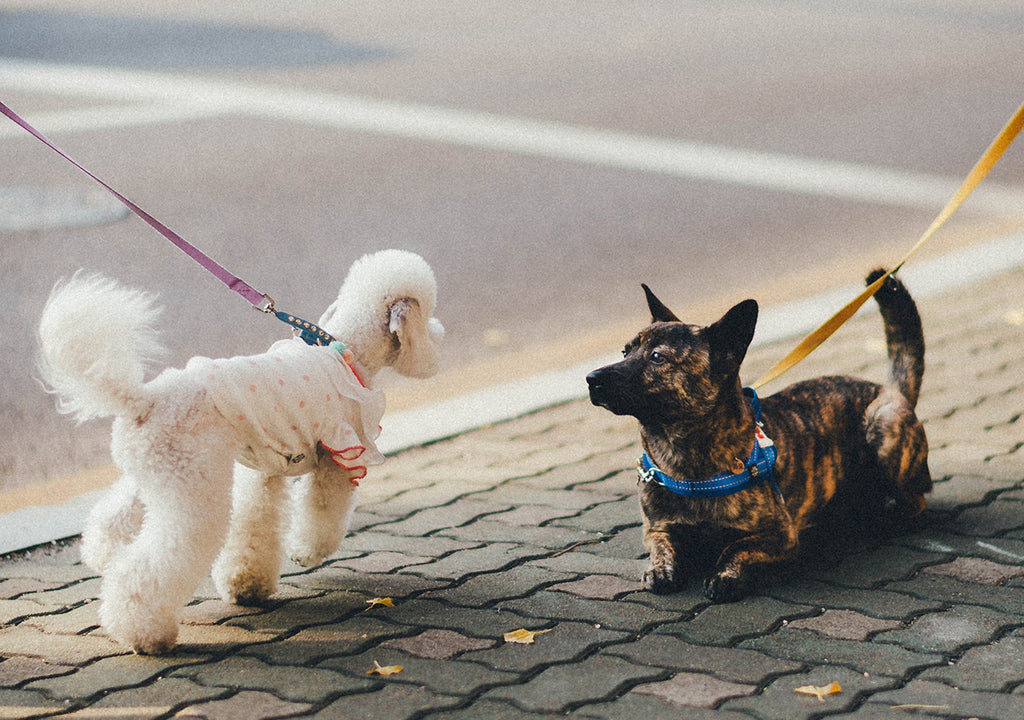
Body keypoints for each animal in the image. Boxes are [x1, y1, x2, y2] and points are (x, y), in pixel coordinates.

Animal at [585, 270, 929, 602]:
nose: (591, 378)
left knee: (916, 501)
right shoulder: (656, 529)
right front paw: (659, 569)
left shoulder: (781, 534)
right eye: (625, 351)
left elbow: (735, 546)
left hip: (884, 429)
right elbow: (661, 545)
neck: (684, 457)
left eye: (657, 357)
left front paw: (725, 575)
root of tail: (891, 390)